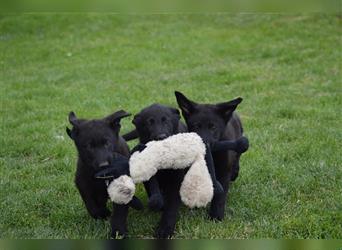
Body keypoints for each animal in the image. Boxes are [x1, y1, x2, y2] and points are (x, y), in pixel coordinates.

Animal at [123, 103, 187, 238]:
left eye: (166, 120)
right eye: (149, 123)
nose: (161, 137)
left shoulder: (177, 179)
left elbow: (172, 206)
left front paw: (165, 229)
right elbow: (153, 188)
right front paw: (157, 203)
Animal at [176, 91, 246, 220]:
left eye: (213, 127)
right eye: (196, 126)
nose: (204, 143)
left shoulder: (224, 171)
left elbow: (220, 195)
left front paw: (216, 216)